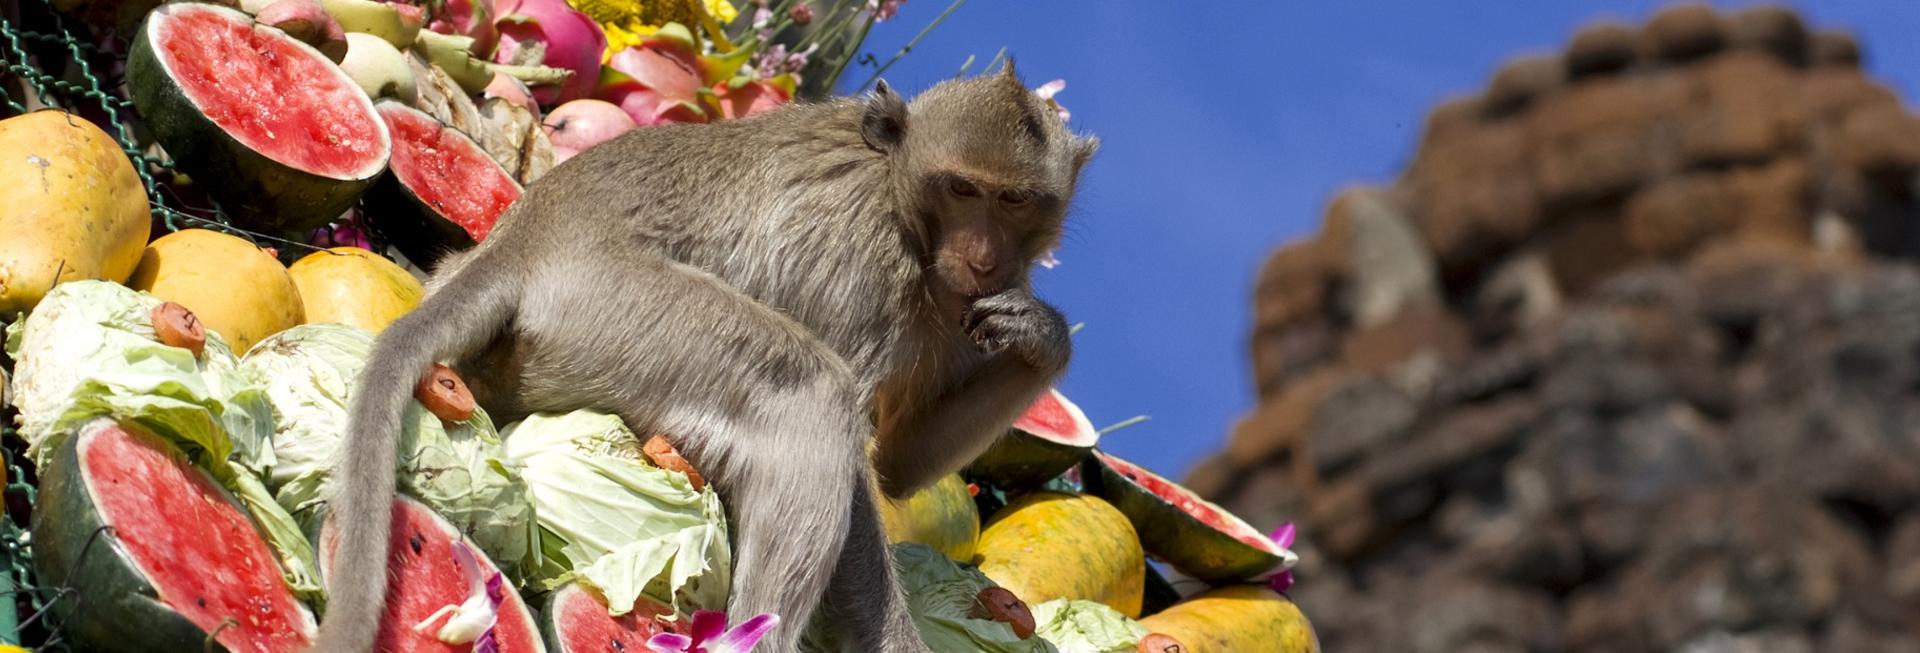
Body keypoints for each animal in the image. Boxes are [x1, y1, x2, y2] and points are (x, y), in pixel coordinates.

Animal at [314, 61, 1098, 653]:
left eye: (1014, 200)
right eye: (962, 189)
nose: (983, 256)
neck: (902, 202)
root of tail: (528, 238)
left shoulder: (964, 303)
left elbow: (900, 462)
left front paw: (1044, 338)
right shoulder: (864, 267)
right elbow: (859, 469)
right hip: (617, 311)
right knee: (810, 391)